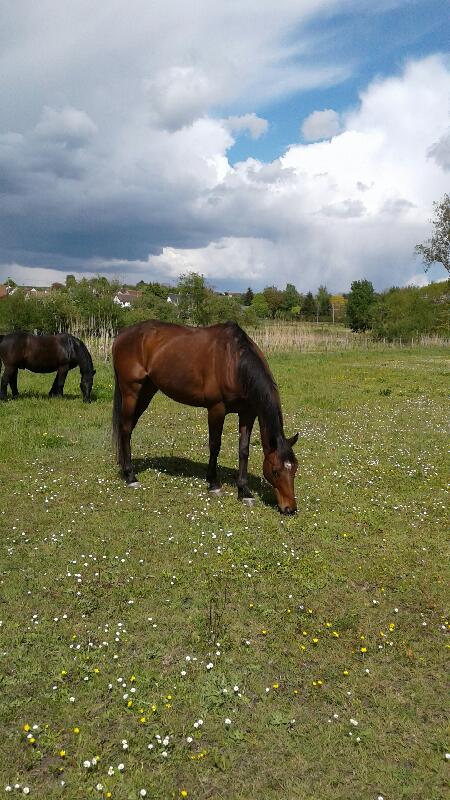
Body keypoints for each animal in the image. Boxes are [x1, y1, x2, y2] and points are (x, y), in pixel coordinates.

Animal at [110, 322, 298, 516]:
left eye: (295, 469)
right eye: (275, 471)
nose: (290, 508)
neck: (234, 362)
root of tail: (122, 335)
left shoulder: (248, 413)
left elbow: (244, 450)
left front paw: (244, 491)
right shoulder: (216, 409)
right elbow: (215, 446)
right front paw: (213, 484)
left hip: (147, 390)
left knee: (128, 428)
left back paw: (125, 468)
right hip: (131, 391)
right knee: (125, 429)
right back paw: (130, 476)